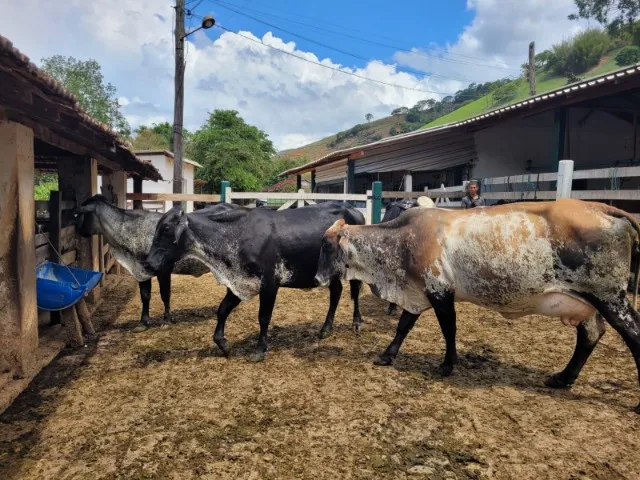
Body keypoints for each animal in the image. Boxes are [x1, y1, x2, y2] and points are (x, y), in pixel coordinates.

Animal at [74, 195, 240, 331]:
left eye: (80, 214)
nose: (76, 231)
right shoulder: (142, 271)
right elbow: (145, 296)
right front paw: (143, 322)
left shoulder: (164, 269)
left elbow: (165, 294)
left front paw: (166, 320)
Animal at [143, 202, 366, 362]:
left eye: (166, 229)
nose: (149, 262)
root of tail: (352, 209)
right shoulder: (238, 283)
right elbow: (222, 310)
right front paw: (223, 344)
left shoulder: (270, 284)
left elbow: (264, 317)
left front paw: (259, 349)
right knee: (336, 292)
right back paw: (326, 328)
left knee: (354, 291)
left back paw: (357, 322)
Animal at [314, 199, 640, 413]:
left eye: (328, 246)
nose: (317, 277)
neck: (401, 241)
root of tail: (603, 208)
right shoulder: (418, 293)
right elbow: (403, 326)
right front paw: (387, 355)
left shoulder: (440, 291)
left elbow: (449, 329)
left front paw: (447, 364)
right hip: (587, 302)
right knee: (590, 334)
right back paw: (562, 378)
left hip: (610, 297)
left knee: (632, 336)